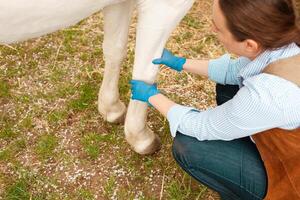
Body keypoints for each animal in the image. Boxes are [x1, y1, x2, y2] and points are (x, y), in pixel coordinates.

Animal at [0, 0, 196, 155]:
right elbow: (145, 73)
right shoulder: (165, 6)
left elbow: (115, 49)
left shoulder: (118, 3)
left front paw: (111, 108)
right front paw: (140, 138)